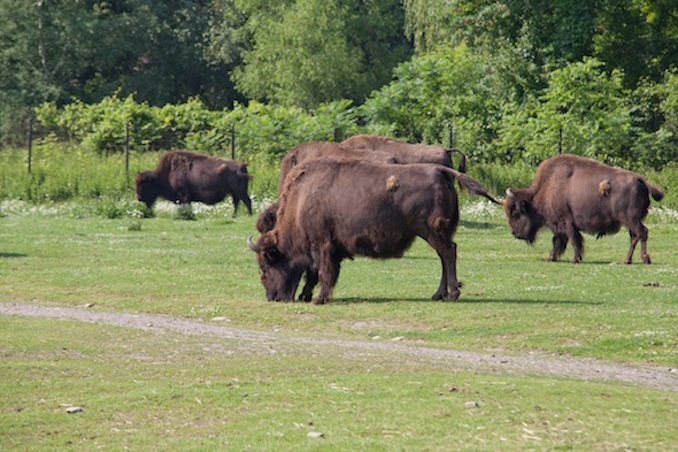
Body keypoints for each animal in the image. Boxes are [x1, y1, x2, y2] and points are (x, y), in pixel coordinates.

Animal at [248, 158, 500, 304]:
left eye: (266, 265)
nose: (272, 298)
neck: (301, 201)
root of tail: (441, 170)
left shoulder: (321, 245)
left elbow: (323, 272)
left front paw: (318, 299)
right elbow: (315, 273)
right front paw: (306, 295)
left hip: (432, 232)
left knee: (448, 253)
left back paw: (452, 294)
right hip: (433, 234)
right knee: (444, 257)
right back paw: (438, 294)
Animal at [508, 154, 668, 264]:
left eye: (516, 213)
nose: (515, 234)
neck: (548, 186)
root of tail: (640, 179)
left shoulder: (565, 221)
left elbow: (571, 239)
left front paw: (574, 259)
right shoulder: (563, 225)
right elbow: (561, 240)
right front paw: (552, 257)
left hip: (631, 219)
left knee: (642, 233)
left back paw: (645, 259)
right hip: (630, 221)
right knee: (634, 237)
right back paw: (627, 260)